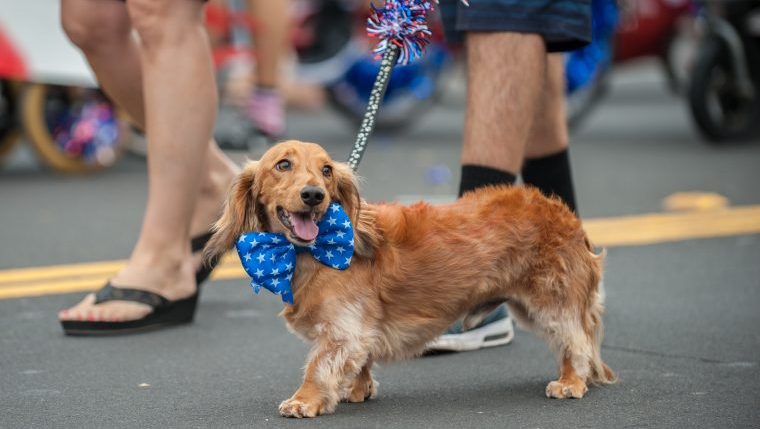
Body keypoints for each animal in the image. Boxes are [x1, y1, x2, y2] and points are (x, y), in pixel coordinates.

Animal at [203, 141, 616, 418]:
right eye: (283, 165)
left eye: (326, 171)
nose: (314, 195)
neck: (315, 250)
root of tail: (565, 215)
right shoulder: (359, 332)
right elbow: (359, 363)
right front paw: (358, 389)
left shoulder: (343, 331)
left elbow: (318, 366)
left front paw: (304, 400)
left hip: (551, 302)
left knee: (575, 343)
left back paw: (570, 382)